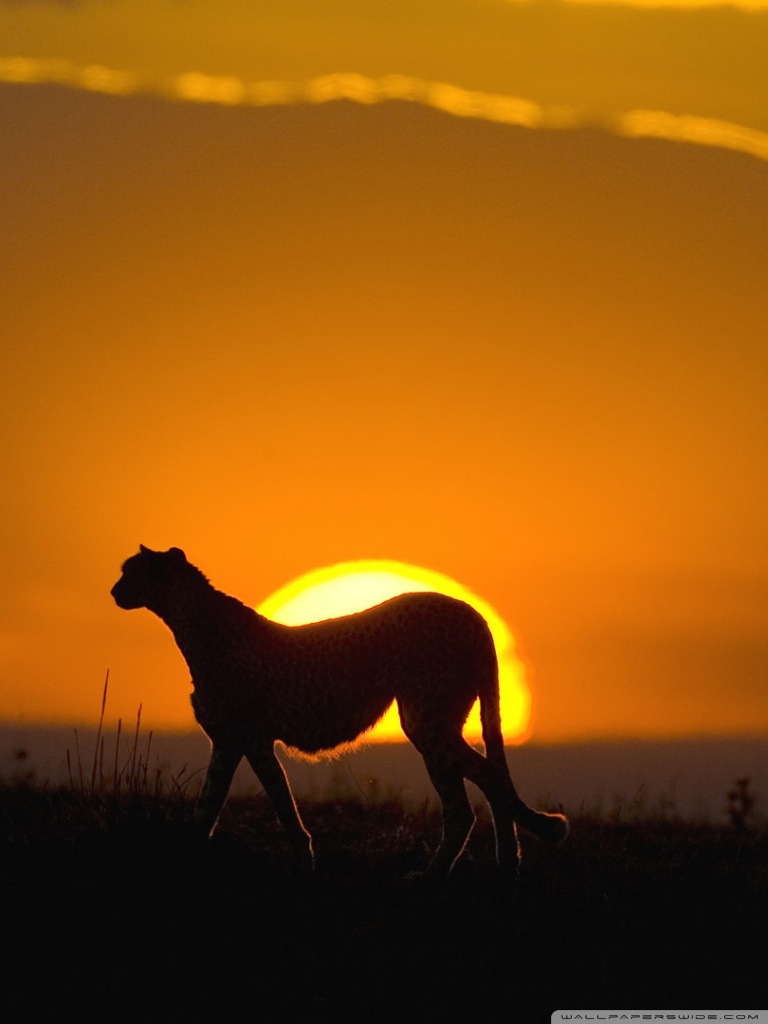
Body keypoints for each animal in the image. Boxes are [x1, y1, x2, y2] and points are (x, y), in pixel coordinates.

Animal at [111, 544, 569, 880]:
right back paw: (497, 866)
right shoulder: (230, 742)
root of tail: (471, 611)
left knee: (479, 787)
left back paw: (441, 874)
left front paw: (303, 863)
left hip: (427, 723)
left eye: (130, 571)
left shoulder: (250, 739)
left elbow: (279, 804)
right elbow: (209, 806)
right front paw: (190, 855)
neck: (190, 621)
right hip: (440, 723)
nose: (114, 591)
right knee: (479, 791)